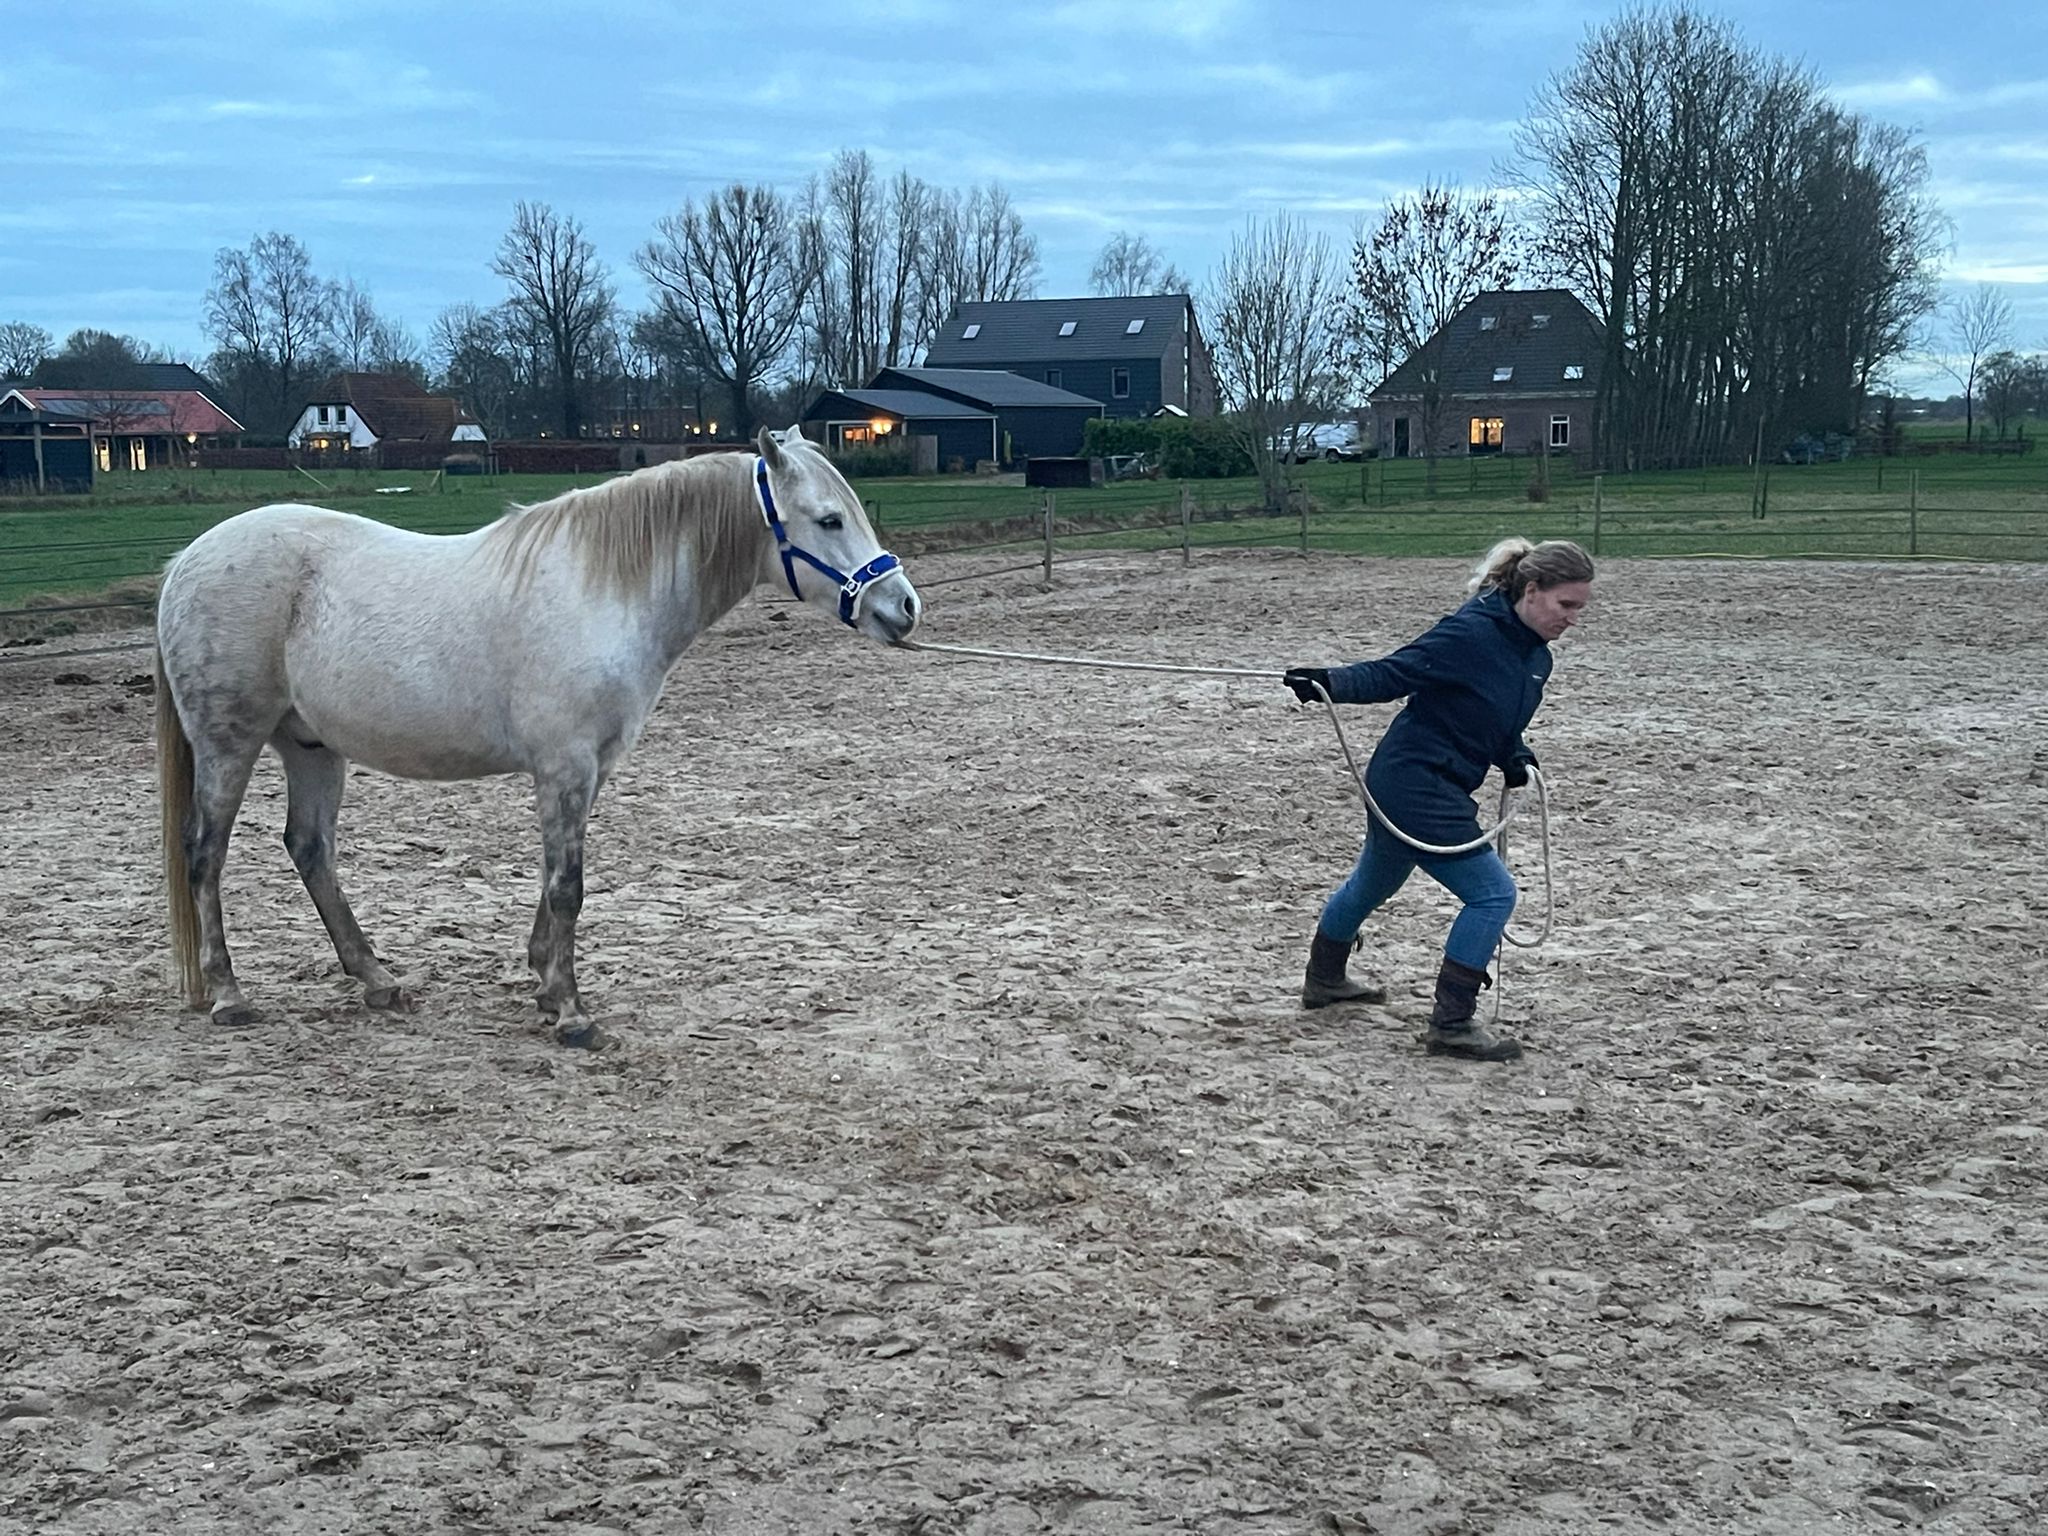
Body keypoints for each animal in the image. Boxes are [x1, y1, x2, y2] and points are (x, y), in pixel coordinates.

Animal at [153, 424, 919, 1049]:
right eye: (828, 519)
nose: (903, 607)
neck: (607, 590)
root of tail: (184, 562)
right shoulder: (564, 765)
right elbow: (568, 885)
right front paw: (573, 1014)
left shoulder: (589, 769)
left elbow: (556, 881)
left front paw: (547, 987)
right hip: (229, 743)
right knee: (205, 853)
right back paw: (228, 995)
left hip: (311, 747)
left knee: (310, 850)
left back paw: (377, 980)